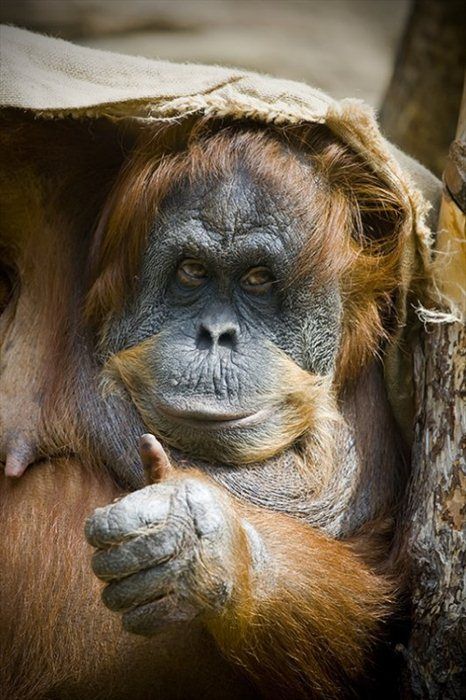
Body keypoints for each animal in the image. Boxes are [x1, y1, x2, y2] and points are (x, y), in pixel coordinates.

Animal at [0, 113, 409, 699]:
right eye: (192, 271)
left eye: (258, 279)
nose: (216, 334)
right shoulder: (54, 191)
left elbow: (372, 629)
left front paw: (197, 548)